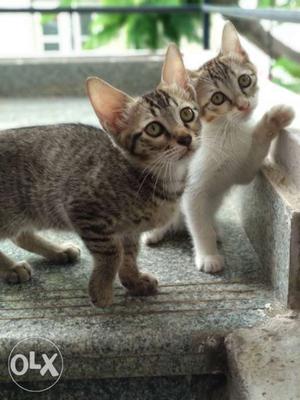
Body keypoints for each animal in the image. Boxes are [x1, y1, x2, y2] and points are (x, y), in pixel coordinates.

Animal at [0, 43, 202, 306]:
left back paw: (57, 251)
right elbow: (112, 252)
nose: (186, 138)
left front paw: (133, 280)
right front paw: (102, 289)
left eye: (187, 114)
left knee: (20, 235)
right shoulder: (82, 209)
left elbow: (129, 253)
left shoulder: (130, 230)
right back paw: (11, 267)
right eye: (154, 129)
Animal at [144, 22, 296, 276]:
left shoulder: (242, 171)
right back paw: (154, 232)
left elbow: (254, 151)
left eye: (244, 80)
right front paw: (208, 256)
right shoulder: (192, 190)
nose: (244, 105)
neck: (227, 133)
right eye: (218, 98)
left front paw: (276, 118)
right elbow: (199, 224)